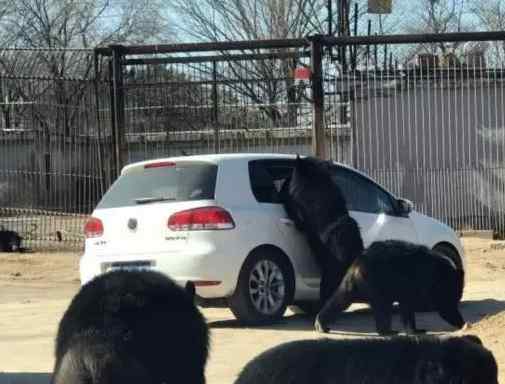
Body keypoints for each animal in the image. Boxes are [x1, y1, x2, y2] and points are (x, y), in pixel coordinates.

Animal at [316, 240, 464, 336]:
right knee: (381, 307)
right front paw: (413, 330)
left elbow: (407, 308)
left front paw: (417, 329)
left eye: (456, 297)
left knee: (342, 298)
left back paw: (322, 324)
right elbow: (407, 307)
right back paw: (387, 331)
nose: (462, 322)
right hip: (376, 284)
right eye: (449, 298)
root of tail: (357, 263)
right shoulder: (412, 284)